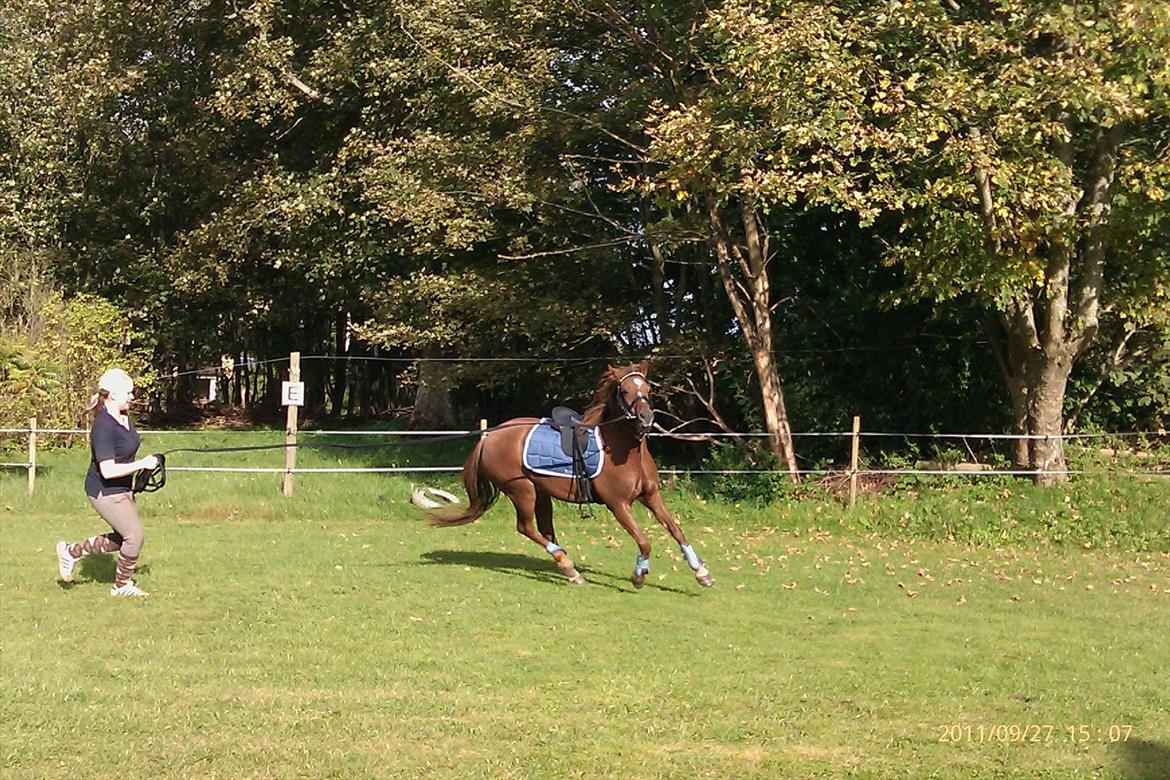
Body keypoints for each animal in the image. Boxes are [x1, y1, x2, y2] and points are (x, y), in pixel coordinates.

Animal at [432, 362, 711, 589]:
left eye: (648, 389)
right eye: (624, 391)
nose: (645, 418)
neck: (625, 452)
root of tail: (489, 437)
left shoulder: (651, 496)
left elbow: (676, 530)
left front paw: (701, 572)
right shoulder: (618, 504)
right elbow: (644, 542)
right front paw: (639, 575)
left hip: (540, 492)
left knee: (544, 529)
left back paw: (566, 565)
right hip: (522, 491)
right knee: (526, 527)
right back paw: (568, 566)